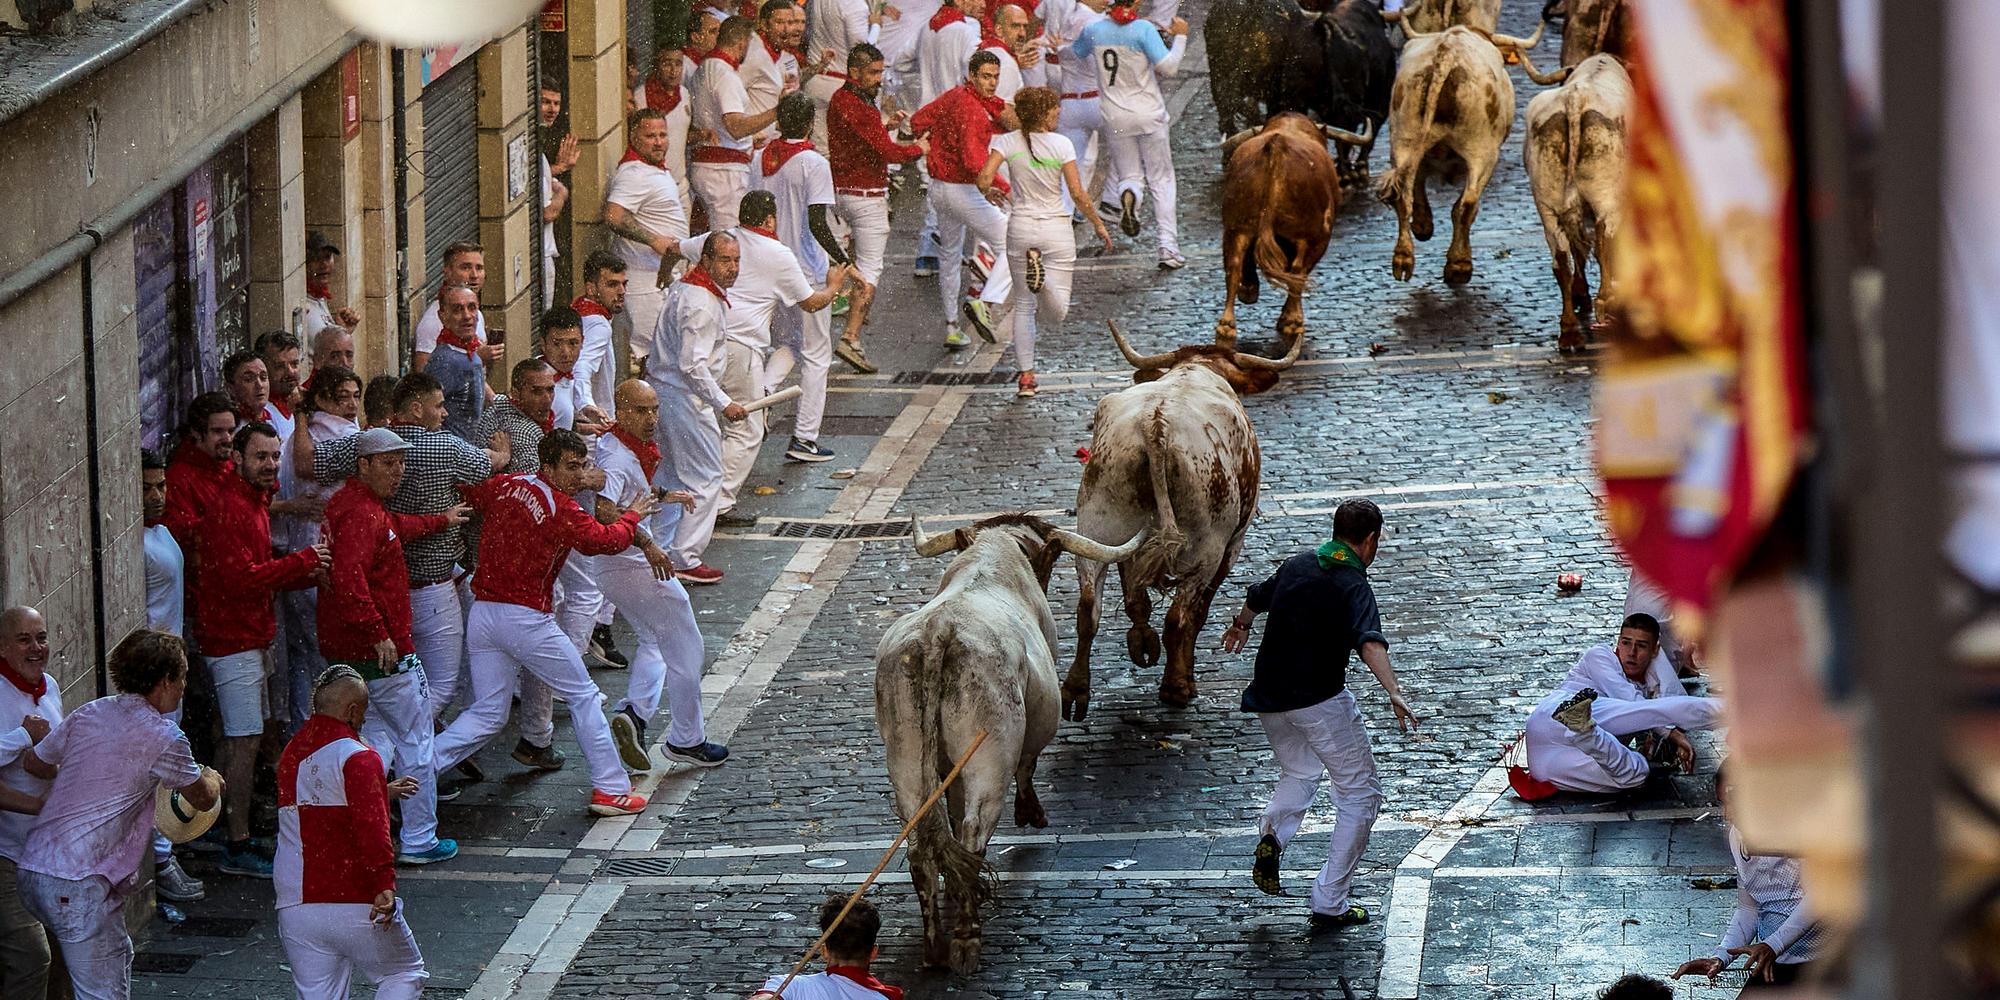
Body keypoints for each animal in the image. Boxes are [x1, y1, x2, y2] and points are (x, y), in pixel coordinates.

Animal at [876, 512, 1144, 972]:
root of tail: (939, 632)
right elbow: (1029, 763)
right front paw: (1031, 812)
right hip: (989, 759)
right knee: (973, 832)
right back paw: (966, 940)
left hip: (906, 761)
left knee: (922, 847)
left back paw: (934, 947)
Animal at [1064, 320, 1296, 720]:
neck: (1195, 370)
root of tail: (1156, 425)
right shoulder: (1232, 547)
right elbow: (1197, 615)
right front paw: (1182, 675)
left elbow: (1135, 598)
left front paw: (1142, 640)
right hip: (1208, 548)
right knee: (1179, 617)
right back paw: (1175, 686)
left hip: (1097, 526)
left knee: (1089, 606)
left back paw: (1079, 687)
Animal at [1208, 113, 1368, 352]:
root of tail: (1277, 146)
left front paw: (1249, 290)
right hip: (1310, 235)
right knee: (1298, 270)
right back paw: (1292, 321)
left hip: (1236, 228)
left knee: (1234, 265)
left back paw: (1227, 326)